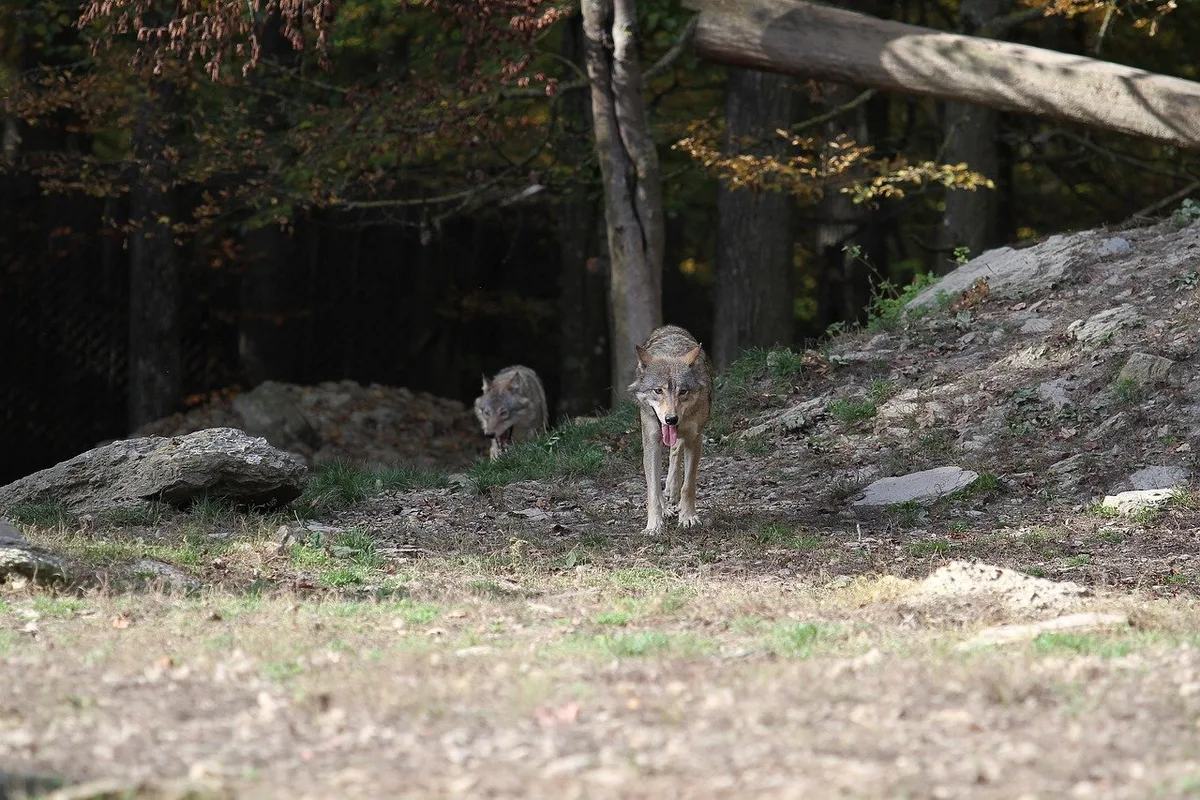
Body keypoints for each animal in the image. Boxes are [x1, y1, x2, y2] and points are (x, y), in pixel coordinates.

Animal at [628, 325, 714, 534]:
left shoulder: (694, 439)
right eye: (658, 391)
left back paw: (673, 491)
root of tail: (669, 326)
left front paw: (688, 517)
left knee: (676, 451)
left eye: (682, 392)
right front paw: (654, 525)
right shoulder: (651, 442)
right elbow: (652, 489)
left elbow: (688, 485)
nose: (671, 419)